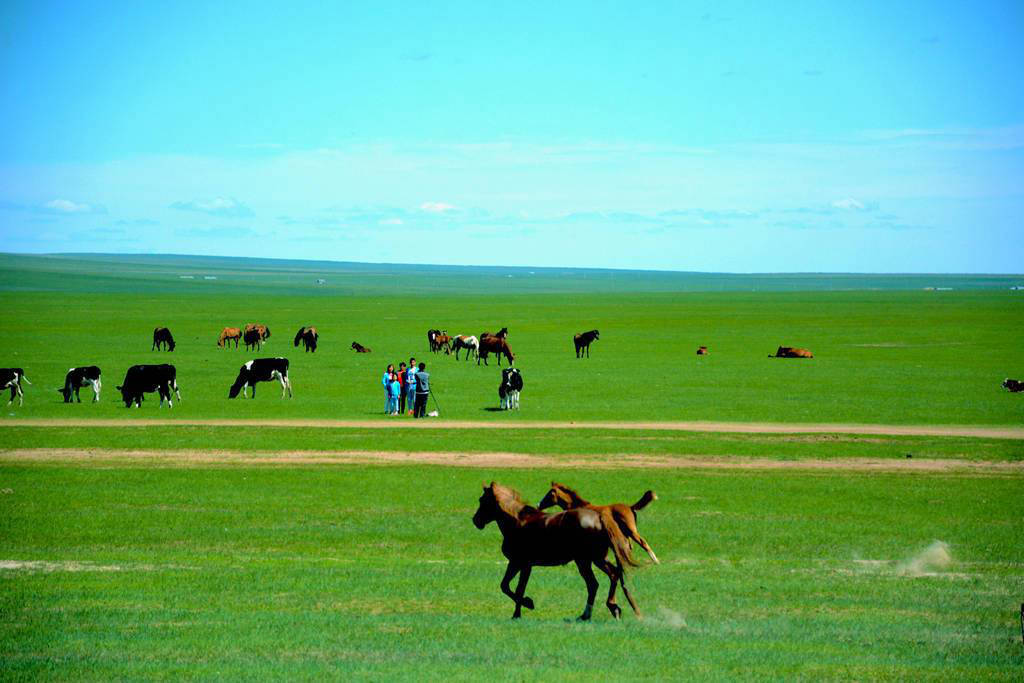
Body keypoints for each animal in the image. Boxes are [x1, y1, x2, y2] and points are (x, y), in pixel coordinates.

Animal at [473, 483, 638, 622]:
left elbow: (509, 587)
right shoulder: (523, 565)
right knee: (609, 577)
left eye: (482, 500)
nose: (475, 521)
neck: (517, 521)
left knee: (598, 582)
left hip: (587, 561)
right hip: (595, 560)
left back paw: (599, 611)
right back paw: (602, 611)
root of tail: (600, 518)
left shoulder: (519, 563)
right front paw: (517, 614)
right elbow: (514, 587)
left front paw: (527, 604)